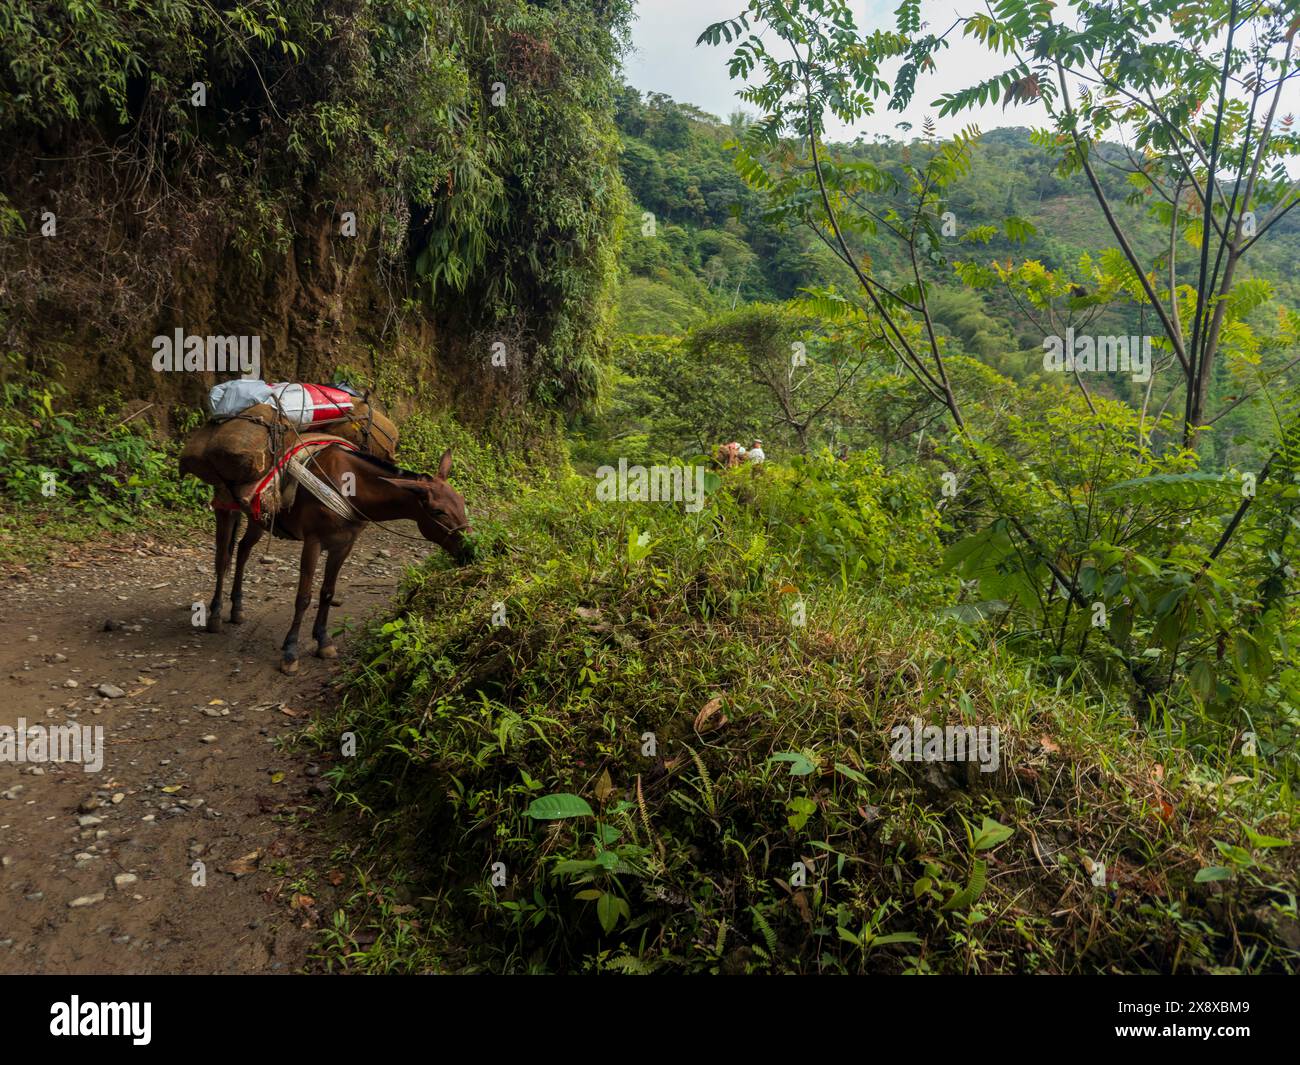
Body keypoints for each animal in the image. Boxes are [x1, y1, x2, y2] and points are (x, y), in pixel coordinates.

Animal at [200, 444, 470, 670]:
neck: (350, 489)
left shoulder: (344, 545)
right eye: (438, 511)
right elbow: (304, 597)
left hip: (260, 518)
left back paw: (237, 608)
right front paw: (290, 651)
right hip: (226, 510)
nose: (470, 550)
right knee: (223, 559)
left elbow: (327, 593)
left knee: (243, 550)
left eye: (462, 501)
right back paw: (215, 614)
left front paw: (323, 641)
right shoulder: (313, 542)